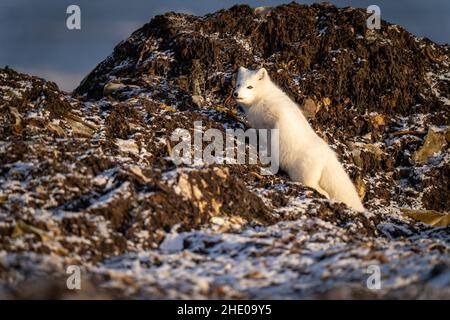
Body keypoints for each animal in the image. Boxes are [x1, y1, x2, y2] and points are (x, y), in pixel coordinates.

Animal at [236, 67, 366, 212]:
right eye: (238, 84)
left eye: (250, 86)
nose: (236, 94)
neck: (260, 103)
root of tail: (328, 155)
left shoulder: (281, 116)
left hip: (303, 176)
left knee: (319, 189)